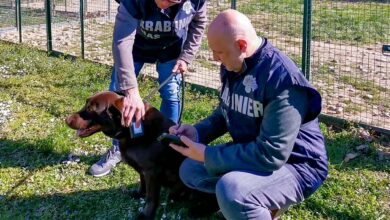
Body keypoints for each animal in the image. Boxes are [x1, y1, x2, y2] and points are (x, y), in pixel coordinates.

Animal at [65, 90, 190, 218]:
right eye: (86, 104)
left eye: (90, 109)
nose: (66, 120)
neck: (129, 130)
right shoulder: (143, 170)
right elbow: (142, 182)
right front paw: (139, 194)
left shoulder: (152, 172)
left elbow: (151, 198)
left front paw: (146, 215)